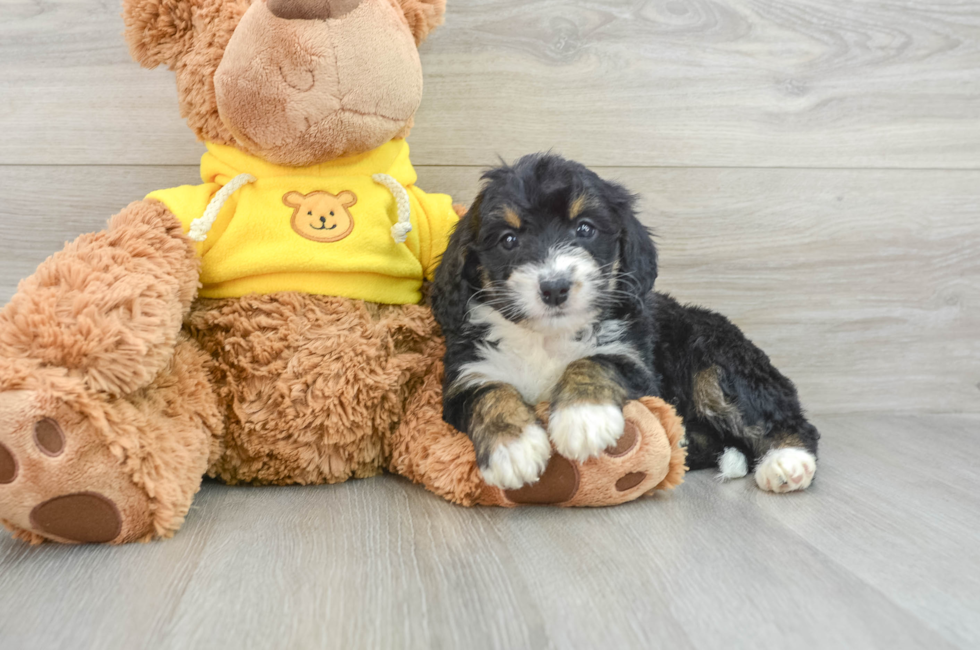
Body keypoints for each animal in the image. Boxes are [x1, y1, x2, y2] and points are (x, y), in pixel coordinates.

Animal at [432, 154, 824, 494]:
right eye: (508, 239)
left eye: (585, 228)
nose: (555, 287)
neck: (547, 338)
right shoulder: (467, 375)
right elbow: (490, 394)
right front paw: (513, 449)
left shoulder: (636, 361)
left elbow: (593, 361)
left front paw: (583, 419)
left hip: (716, 361)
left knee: (788, 420)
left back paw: (787, 462)